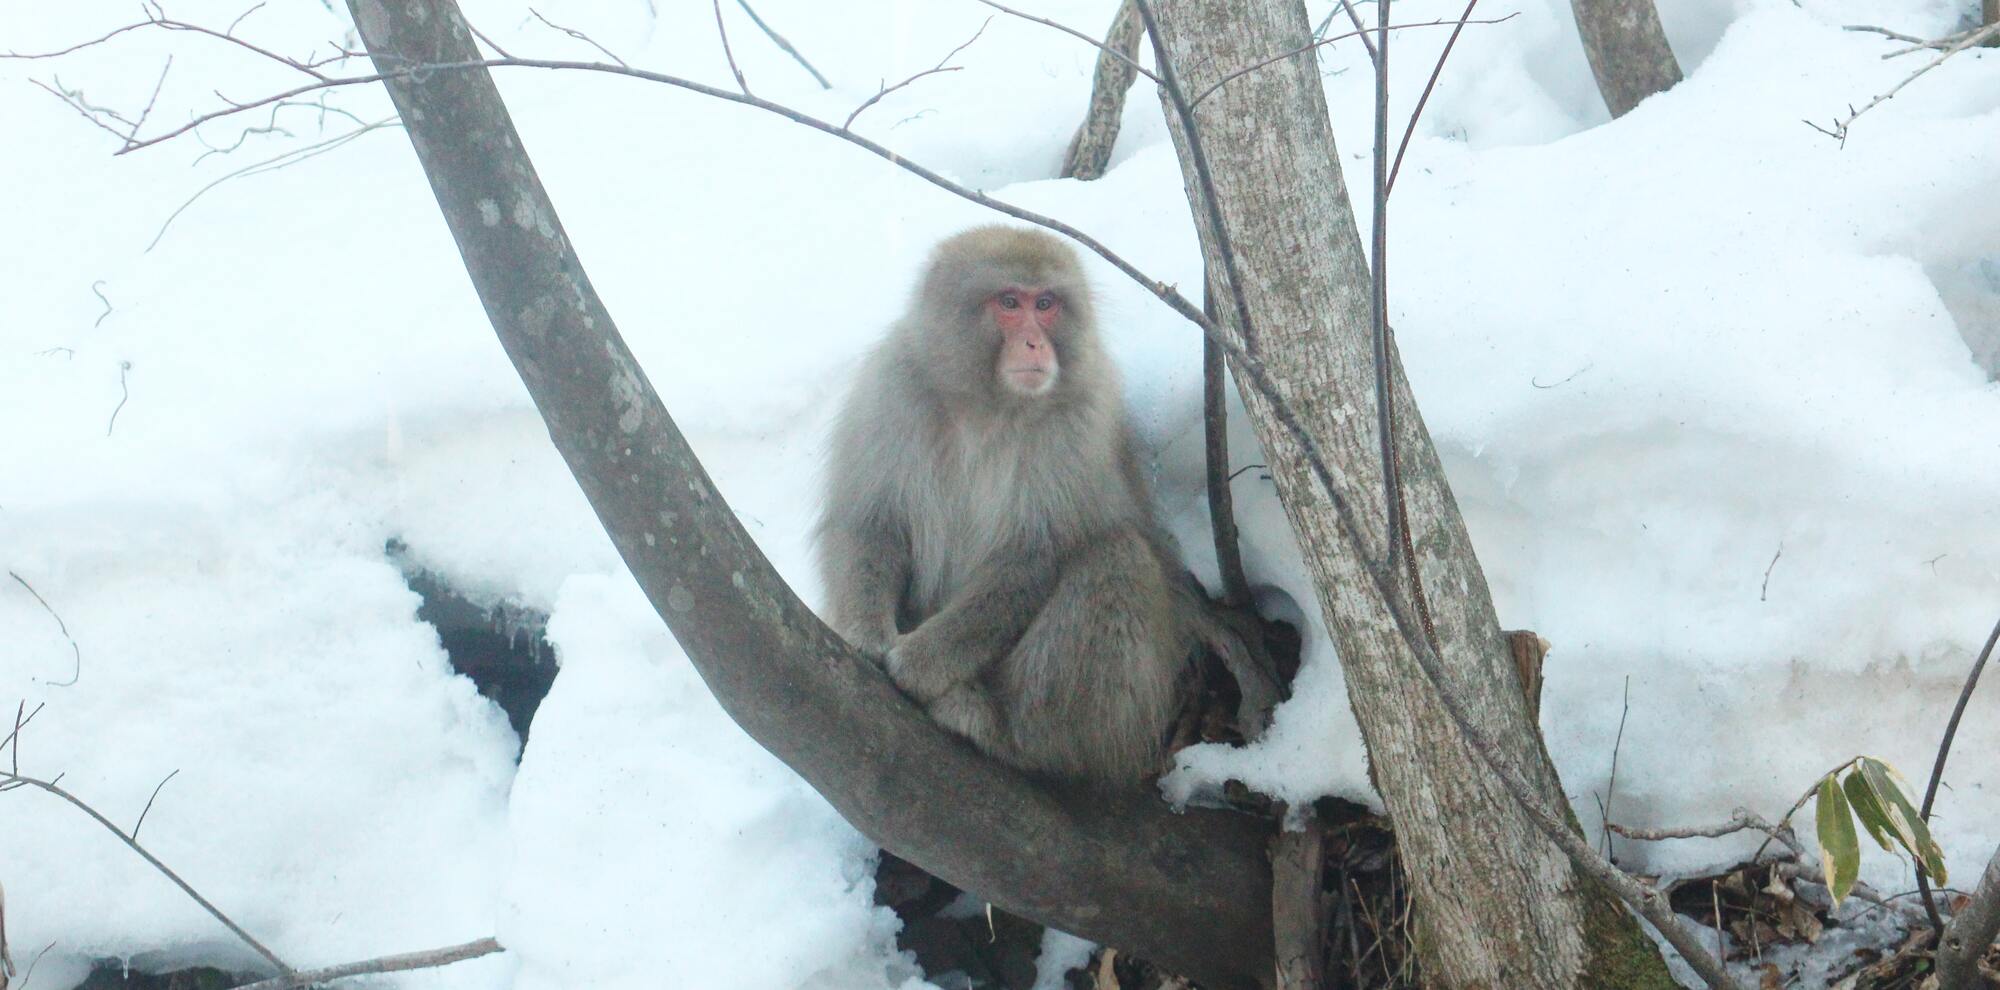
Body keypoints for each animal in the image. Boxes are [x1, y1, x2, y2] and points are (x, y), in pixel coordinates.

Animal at [815, 224, 1216, 787]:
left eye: (1045, 304)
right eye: (1009, 303)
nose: (1033, 342)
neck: (988, 407)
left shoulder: (1077, 424)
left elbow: (1031, 558)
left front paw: (921, 661)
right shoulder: (892, 390)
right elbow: (869, 524)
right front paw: (865, 633)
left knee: (1117, 559)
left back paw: (1009, 732)